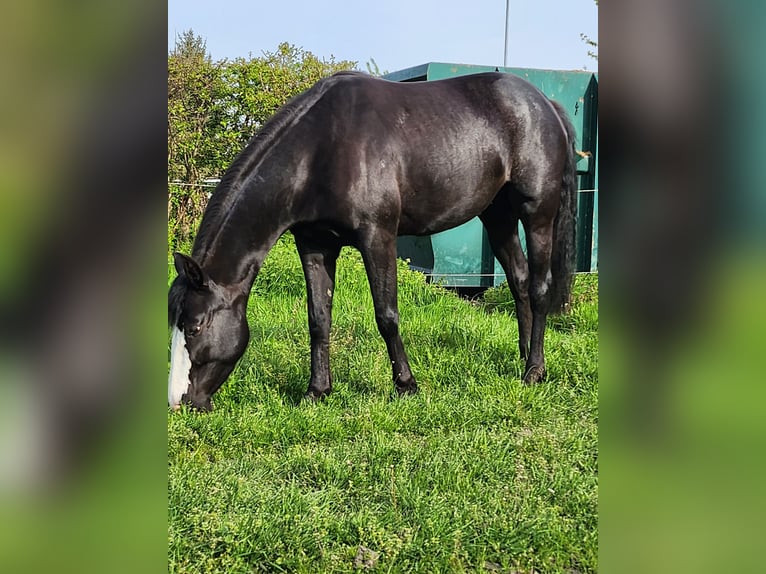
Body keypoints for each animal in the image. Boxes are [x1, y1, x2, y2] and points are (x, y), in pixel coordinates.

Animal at [168, 71, 577, 411]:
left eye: (195, 327)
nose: (181, 402)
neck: (320, 151)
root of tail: (545, 103)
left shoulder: (377, 237)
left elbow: (387, 315)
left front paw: (406, 385)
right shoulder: (315, 244)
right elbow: (318, 318)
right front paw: (317, 390)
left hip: (537, 214)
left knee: (539, 287)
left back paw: (534, 370)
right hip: (497, 216)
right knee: (519, 280)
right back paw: (523, 355)